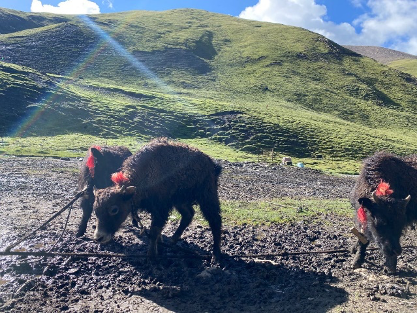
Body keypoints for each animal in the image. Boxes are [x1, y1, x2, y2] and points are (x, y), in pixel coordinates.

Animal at [91, 139, 222, 262]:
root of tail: (212, 164)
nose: (99, 237)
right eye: (95, 210)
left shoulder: (160, 210)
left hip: (207, 197)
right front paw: (160, 246)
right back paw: (173, 240)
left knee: (215, 221)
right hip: (180, 201)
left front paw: (151, 255)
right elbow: (158, 231)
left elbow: (154, 231)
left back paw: (216, 255)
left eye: (114, 209)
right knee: (188, 214)